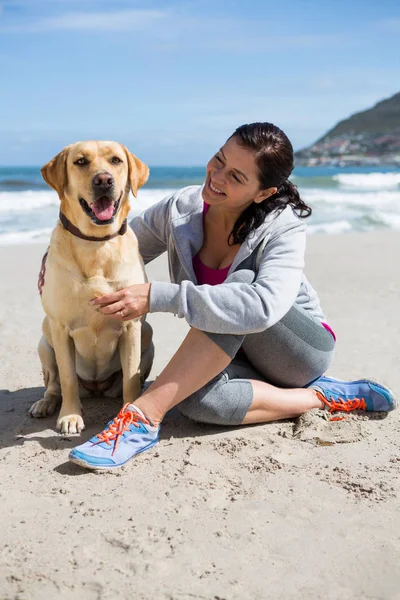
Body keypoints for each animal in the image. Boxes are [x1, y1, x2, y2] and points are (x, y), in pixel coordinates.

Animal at [29, 141, 155, 432]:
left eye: (116, 160)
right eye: (81, 162)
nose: (104, 180)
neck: (97, 244)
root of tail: (96, 387)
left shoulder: (131, 325)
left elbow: (130, 378)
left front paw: (129, 412)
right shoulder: (60, 328)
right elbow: (67, 379)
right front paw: (70, 416)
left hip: (148, 334)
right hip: (44, 340)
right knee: (54, 384)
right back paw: (45, 403)